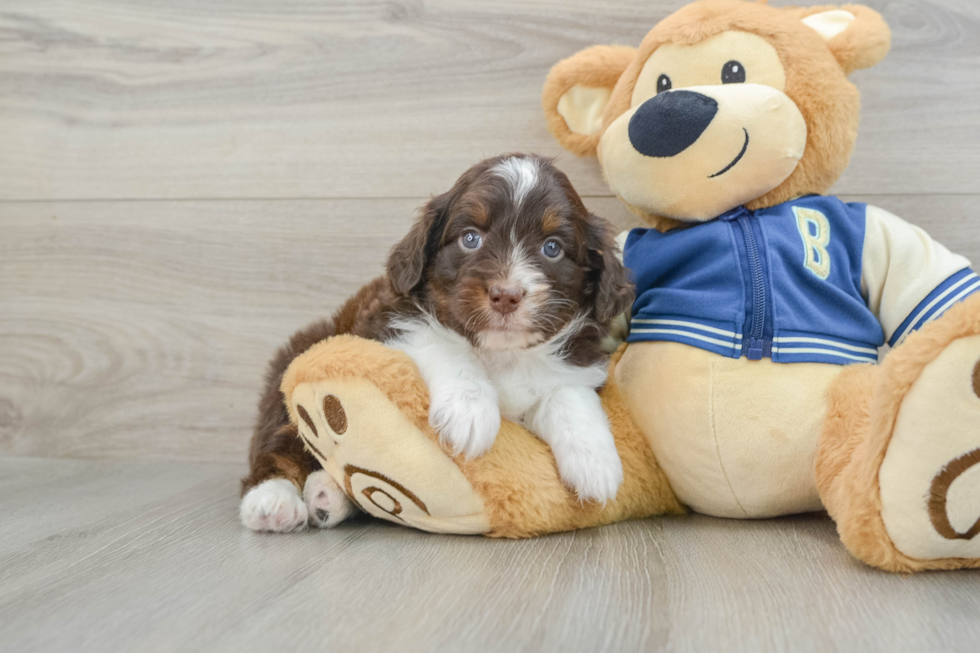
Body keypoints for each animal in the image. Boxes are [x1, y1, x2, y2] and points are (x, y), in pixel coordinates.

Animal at [238, 155, 636, 532]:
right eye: (470, 238)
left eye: (552, 248)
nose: (506, 295)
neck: (500, 354)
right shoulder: (390, 321)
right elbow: (444, 343)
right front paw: (469, 410)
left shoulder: (576, 360)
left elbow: (568, 393)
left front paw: (595, 461)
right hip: (296, 361)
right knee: (280, 443)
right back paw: (273, 499)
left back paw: (328, 495)